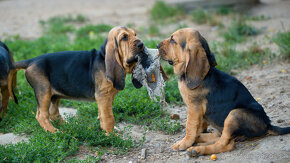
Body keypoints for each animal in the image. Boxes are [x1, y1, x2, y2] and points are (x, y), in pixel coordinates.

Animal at [10, 26, 146, 134]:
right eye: (124, 37)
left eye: (135, 34)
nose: (141, 45)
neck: (103, 58)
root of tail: (31, 61)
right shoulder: (103, 96)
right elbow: (109, 117)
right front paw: (110, 134)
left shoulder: (108, 97)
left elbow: (103, 114)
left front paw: (105, 129)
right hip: (43, 91)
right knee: (41, 116)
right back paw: (55, 132)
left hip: (54, 95)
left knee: (53, 113)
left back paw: (68, 127)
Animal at [159, 28, 290, 157]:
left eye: (172, 40)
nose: (156, 45)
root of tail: (267, 124)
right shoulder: (200, 113)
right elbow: (199, 127)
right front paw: (194, 137)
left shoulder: (194, 108)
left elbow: (190, 127)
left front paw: (184, 143)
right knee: (219, 136)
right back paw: (200, 139)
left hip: (234, 114)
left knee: (225, 144)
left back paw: (197, 150)